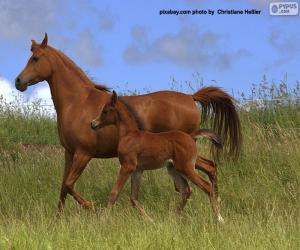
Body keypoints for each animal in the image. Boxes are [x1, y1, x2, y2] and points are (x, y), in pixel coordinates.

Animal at [90, 91, 224, 222]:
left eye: (105, 111)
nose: (93, 123)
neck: (129, 135)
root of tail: (191, 137)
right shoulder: (137, 170)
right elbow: (133, 198)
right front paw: (151, 220)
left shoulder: (127, 166)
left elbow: (114, 193)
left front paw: (102, 220)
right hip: (174, 168)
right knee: (186, 190)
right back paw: (173, 217)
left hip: (186, 167)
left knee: (206, 186)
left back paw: (219, 218)